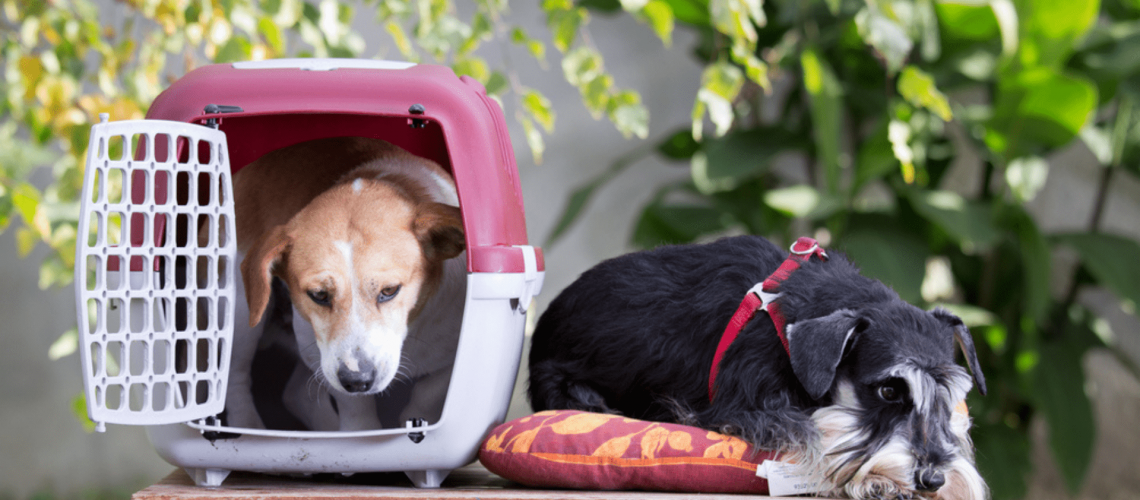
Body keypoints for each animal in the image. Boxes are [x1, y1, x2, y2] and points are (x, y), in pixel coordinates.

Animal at [222, 136, 467, 430]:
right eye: (319, 294)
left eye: (389, 290)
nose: (357, 380)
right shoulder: (319, 354)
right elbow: (356, 410)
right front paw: (363, 430)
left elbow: (429, 392)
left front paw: (416, 421)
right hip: (240, 318)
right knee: (236, 379)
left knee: (296, 395)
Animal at [528, 235, 984, 500]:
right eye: (889, 390)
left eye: (952, 398)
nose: (933, 480)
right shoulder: (748, 407)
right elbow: (819, 433)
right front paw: (875, 480)